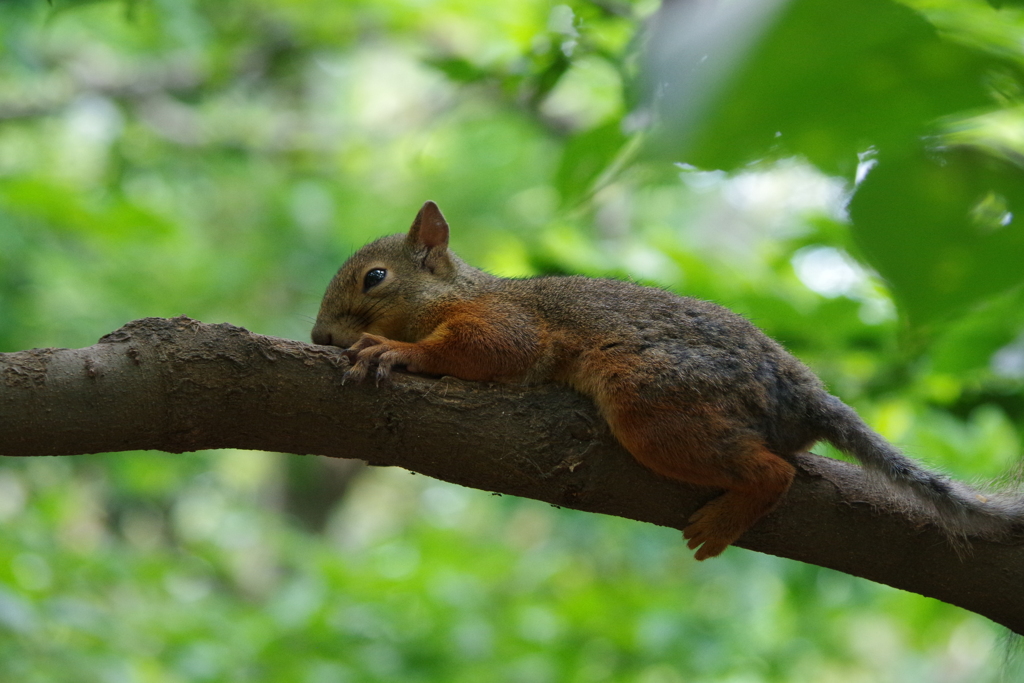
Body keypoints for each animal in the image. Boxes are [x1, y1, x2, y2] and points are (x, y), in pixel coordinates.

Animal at [311, 198, 1024, 561]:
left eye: (375, 278)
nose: (318, 337)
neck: (457, 293)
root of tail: (802, 393)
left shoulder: (510, 323)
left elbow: (489, 350)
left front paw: (397, 350)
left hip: (655, 404)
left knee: (774, 471)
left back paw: (727, 516)